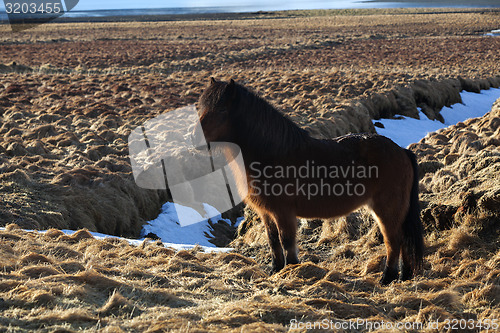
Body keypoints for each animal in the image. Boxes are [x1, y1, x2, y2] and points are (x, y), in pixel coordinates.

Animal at [193, 77, 424, 282]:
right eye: (200, 108)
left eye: (222, 111)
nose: (194, 139)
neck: (270, 154)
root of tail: (401, 151)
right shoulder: (266, 212)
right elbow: (273, 241)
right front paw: (276, 270)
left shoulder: (283, 212)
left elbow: (287, 241)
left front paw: (292, 270)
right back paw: (403, 276)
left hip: (387, 209)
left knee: (393, 242)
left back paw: (387, 278)